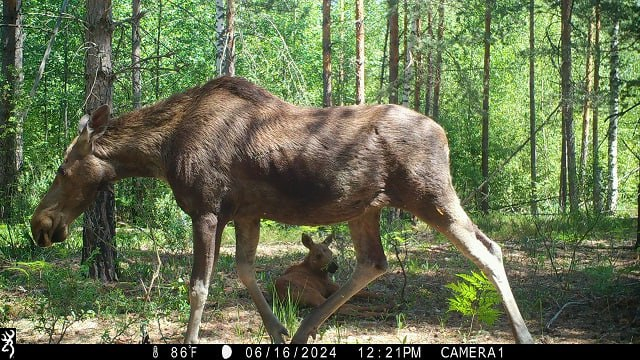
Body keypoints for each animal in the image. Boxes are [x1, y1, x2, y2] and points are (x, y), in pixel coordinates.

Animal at [30, 76, 532, 344]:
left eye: (62, 168)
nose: (40, 224)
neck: (161, 150)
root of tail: (444, 134)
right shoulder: (247, 213)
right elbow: (245, 271)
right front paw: (276, 332)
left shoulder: (206, 209)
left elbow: (198, 288)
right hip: (365, 208)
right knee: (373, 263)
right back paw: (303, 330)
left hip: (430, 196)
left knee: (489, 251)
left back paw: (522, 332)